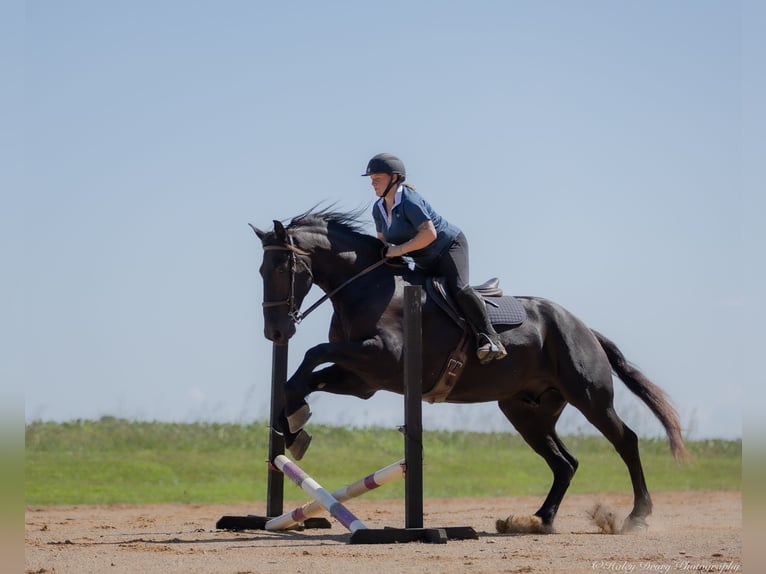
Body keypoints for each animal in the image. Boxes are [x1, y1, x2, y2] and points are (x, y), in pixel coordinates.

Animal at [250, 207, 689, 534]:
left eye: (281, 268)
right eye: (260, 271)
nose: (276, 332)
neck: (365, 289)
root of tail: (583, 327)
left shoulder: (380, 359)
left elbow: (313, 354)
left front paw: (293, 421)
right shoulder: (362, 380)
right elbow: (305, 376)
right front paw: (292, 424)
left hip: (589, 396)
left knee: (626, 441)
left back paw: (637, 516)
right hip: (526, 412)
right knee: (565, 463)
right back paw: (538, 520)